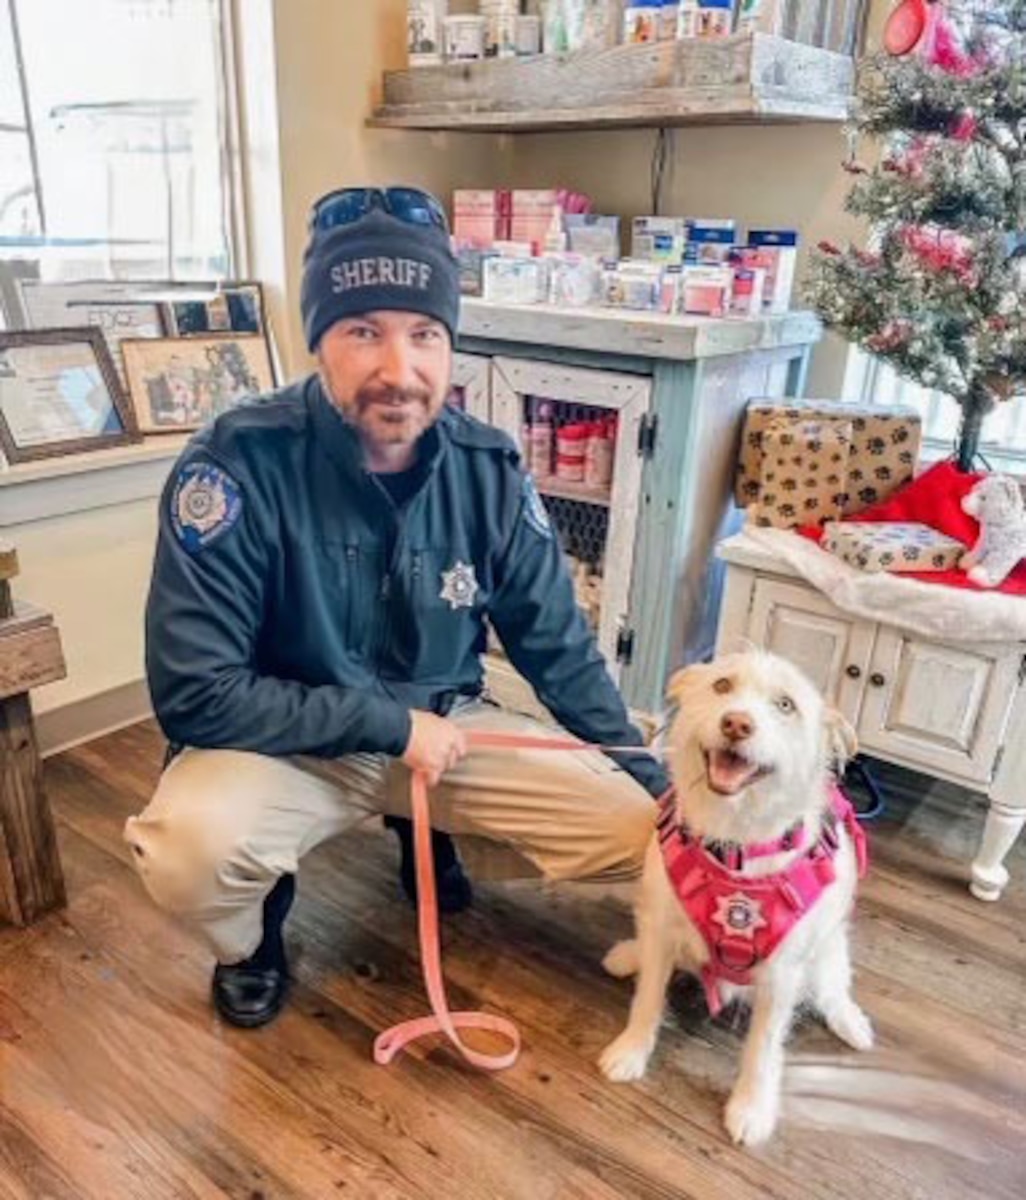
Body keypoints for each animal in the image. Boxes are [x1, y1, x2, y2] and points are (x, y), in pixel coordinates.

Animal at [602, 652, 873, 1147]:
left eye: (786, 705)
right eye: (722, 686)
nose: (736, 723)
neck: (735, 842)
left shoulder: (782, 973)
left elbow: (763, 1048)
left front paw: (751, 1108)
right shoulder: (663, 926)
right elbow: (648, 998)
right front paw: (630, 1050)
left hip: (830, 947)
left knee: (833, 985)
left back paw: (850, 1022)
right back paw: (629, 955)